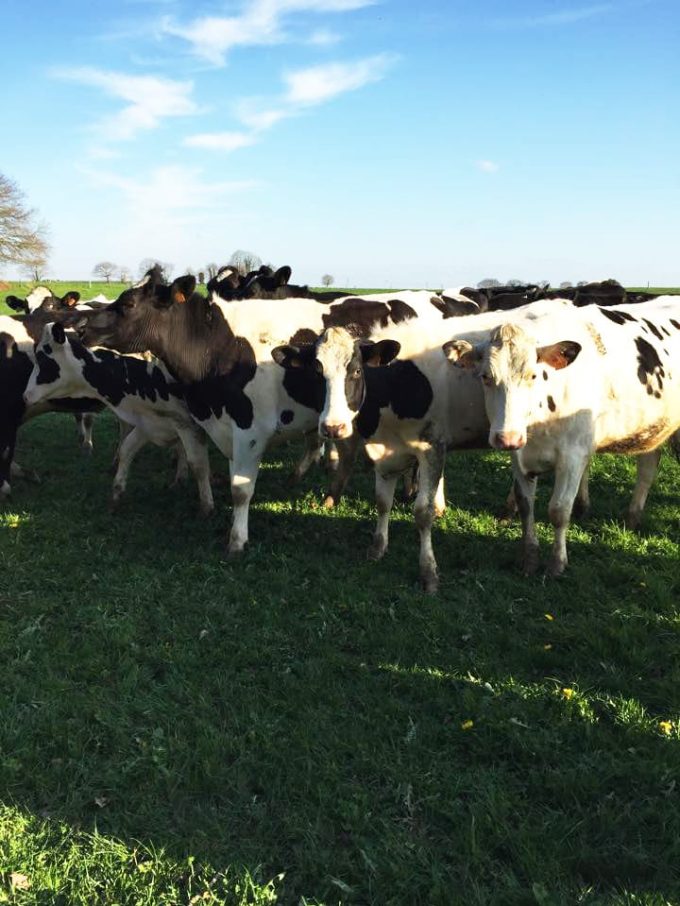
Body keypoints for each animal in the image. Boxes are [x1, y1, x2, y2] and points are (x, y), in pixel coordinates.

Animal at [23, 323, 214, 514]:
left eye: (43, 359)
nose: (25, 396)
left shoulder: (189, 426)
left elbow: (198, 464)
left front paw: (206, 506)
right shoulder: (147, 423)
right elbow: (126, 450)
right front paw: (116, 495)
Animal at [444, 296, 680, 575]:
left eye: (532, 375)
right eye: (485, 377)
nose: (506, 438)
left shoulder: (573, 456)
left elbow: (558, 510)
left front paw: (557, 563)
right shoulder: (520, 455)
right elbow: (526, 506)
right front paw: (529, 559)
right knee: (647, 467)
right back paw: (632, 517)